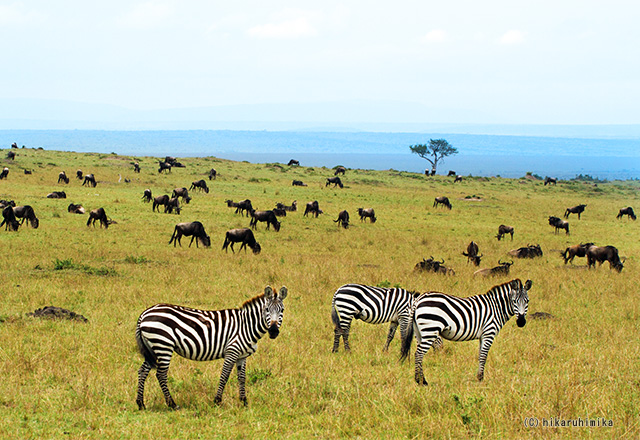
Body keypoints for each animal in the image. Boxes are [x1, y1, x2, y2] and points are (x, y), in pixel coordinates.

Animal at [135, 286, 288, 410]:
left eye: (282, 310)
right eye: (266, 310)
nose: (273, 331)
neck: (246, 325)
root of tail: (144, 313)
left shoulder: (242, 356)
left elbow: (242, 378)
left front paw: (244, 402)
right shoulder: (232, 351)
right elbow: (224, 376)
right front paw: (217, 401)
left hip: (153, 348)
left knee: (143, 371)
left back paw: (141, 404)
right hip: (163, 345)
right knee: (161, 374)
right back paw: (172, 404)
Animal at [402, 278, 532, 384]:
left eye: (527, 301)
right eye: (514, 301)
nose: (521, 322)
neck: (496, 308)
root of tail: (418, 300)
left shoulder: (483, 335)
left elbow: (480, 355)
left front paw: (479, 376)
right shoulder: (489, 332)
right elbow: (484, 356)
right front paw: (480, 378)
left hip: (419, 332)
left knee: (419, 354)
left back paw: (421, 379)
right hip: (430, 329)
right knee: (419, 353)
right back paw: (420, 381)